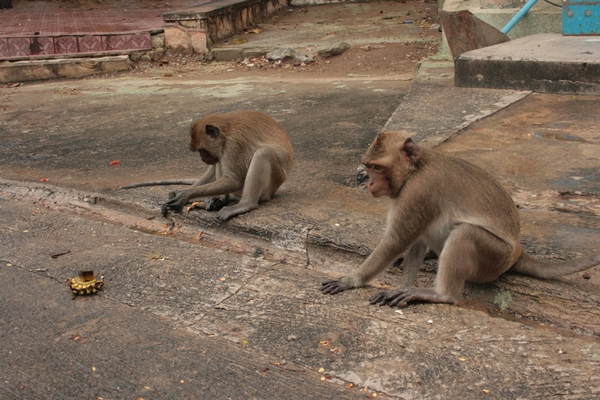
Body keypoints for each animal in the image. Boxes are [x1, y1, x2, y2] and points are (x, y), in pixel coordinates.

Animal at [121, 111, 292, 220]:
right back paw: (218, 199)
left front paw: (184, 195)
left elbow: (234, 179)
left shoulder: (234, 144)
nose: (203, 159)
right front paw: (181, 194)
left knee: (263, 153)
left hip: (270, 185)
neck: (226, 130)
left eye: (202, 150)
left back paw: (245, 204)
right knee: (219, 163)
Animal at [322, 132, 600, 306]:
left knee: (465, 233)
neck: (415, 171)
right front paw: (403, 285)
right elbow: (415, 241)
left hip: (494, 258)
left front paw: (351, 280)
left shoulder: (418, 192)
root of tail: (517, 252)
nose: (369, 183)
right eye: (368, 166)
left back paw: (442, 295)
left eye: (378, 168)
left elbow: (396, 241)